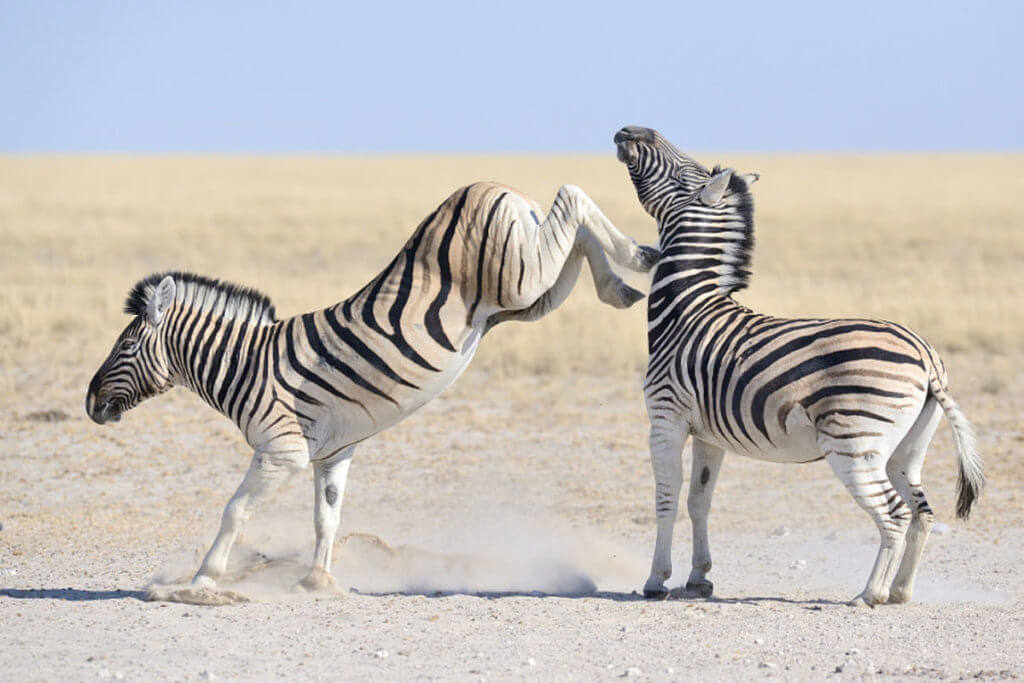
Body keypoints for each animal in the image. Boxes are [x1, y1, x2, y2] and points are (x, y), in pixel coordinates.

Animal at [86, 180, 659, 593]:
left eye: (124, 346)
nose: (89, 403)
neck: (245, 365)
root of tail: (490, 185)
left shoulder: (281, 451)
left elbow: (235, 511)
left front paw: (203, 579)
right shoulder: (331, 454)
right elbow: (327, 518)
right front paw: (318, 582)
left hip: (520, 276)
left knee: (572, 196)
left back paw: (634, 257)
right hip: (529, 295)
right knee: (574, 237)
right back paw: (623, 280)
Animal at [613, 126, 983, 607]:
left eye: (683, 172)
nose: (630, 131)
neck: (686, 309)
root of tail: (925, 355)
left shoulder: (665, 417)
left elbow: (666, 498)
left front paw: (656, 580)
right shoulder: (708, 433)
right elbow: (699, 500)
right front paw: (699, 578)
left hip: (853, 444)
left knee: (895, 514)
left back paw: (870, 594)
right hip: (906, 448)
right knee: (922, 512)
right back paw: (900, 591)